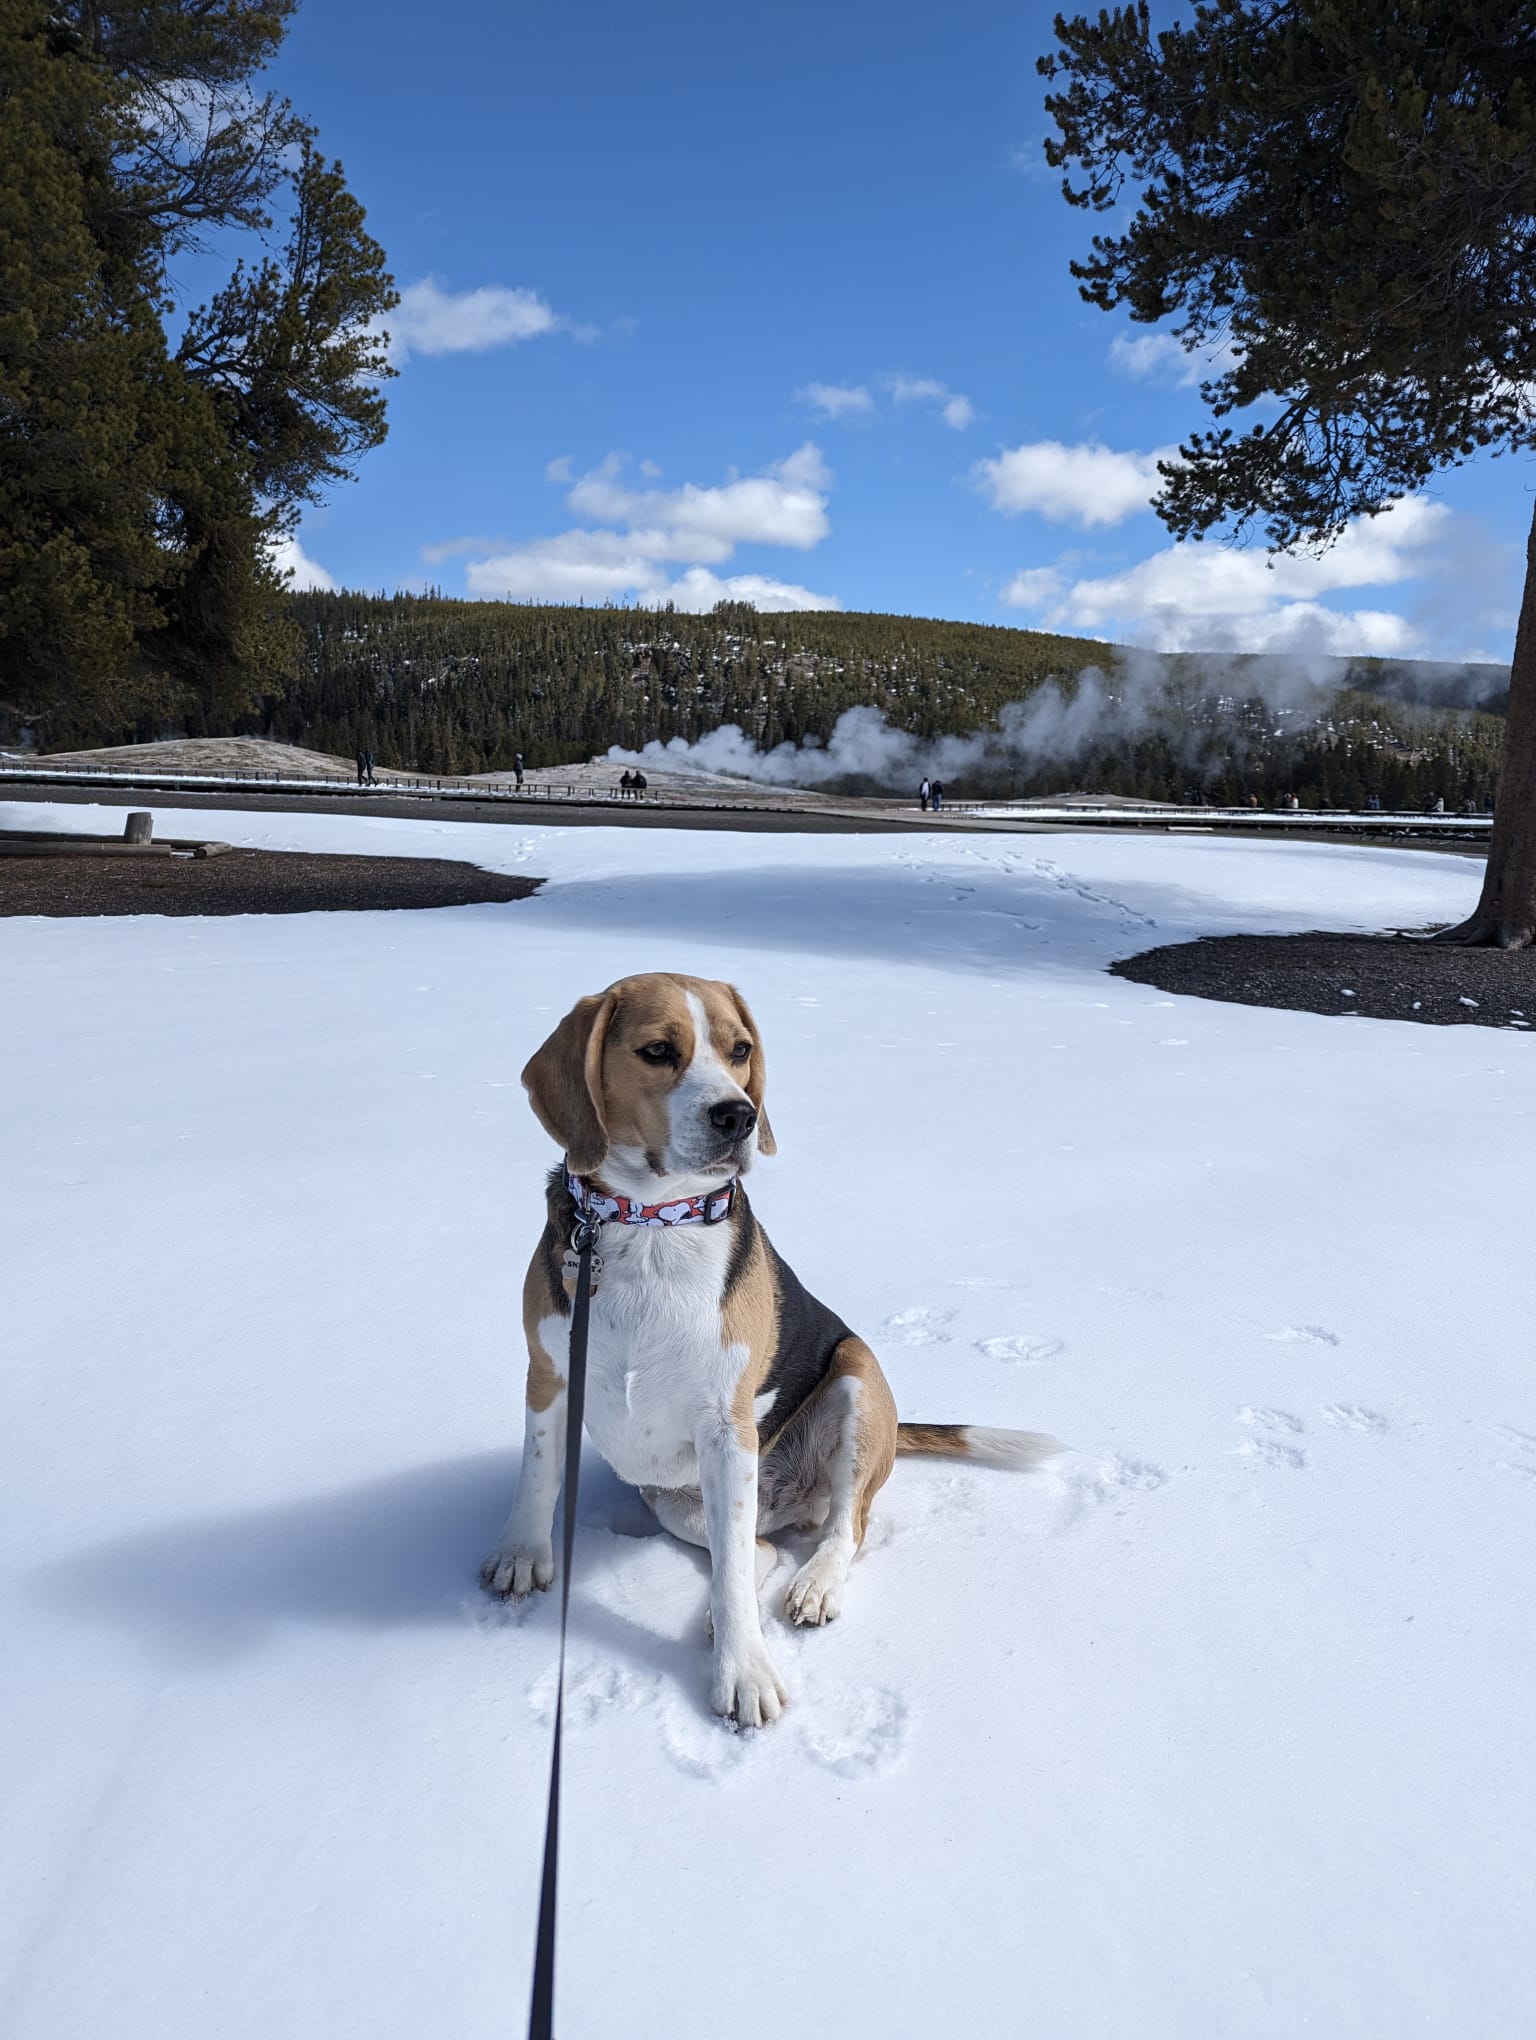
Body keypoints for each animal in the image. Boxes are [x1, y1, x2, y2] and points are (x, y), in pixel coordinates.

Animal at [479, 971, 1052, 1721]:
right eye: (657, 1051)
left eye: (740, 1049)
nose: (738, 1116)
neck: (649, 1223)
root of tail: (790, 1502)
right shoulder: (548, 1371)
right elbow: (538, 1472)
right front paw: (521, 1553)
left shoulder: (728, 1426)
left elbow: (735, 1570)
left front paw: (744, 1673)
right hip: (672, 1500)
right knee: (758, 1552)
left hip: (856, 1379)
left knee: (839, 1528)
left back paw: (814, 1587)